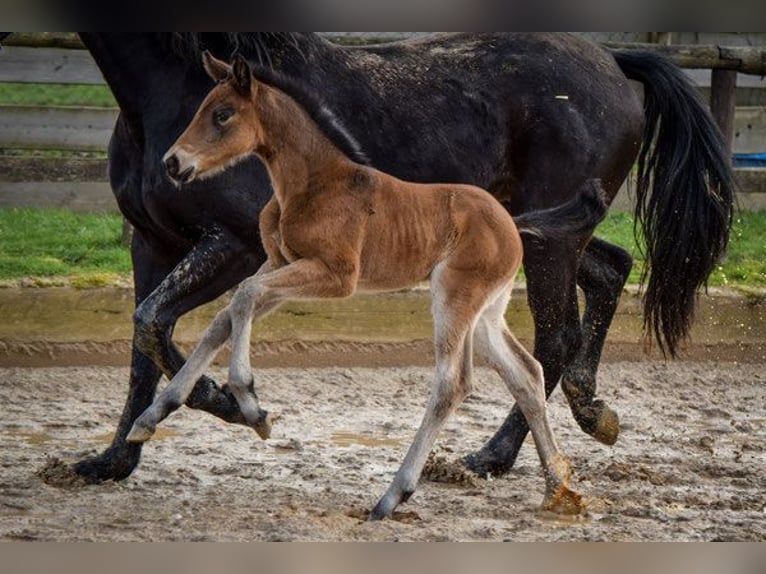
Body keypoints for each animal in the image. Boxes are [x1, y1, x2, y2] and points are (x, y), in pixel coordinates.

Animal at [127, 53, 584, 520]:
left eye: (222, 115)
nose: (173, 163)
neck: (312, 185)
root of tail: (511, 224)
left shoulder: (336, 275)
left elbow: (243, 297)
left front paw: (250, 402)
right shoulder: (282, 265)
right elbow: (226, 315)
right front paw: (152, 417)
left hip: (455, 298)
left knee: (451, 385)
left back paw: (392, 495)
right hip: (486, 314)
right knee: (526, 373)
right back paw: (558, 487)